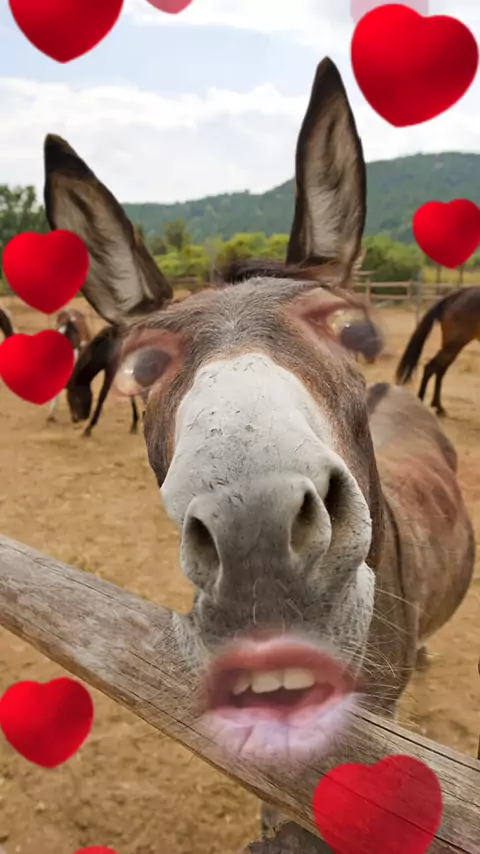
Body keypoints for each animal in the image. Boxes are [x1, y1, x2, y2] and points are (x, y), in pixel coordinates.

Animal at [396, 286, 480, 416]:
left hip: (453, 347)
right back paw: (424, 401)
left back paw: (438, 407)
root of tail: (455, 296)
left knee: (439, 369)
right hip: (453, 345)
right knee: (432, 367)